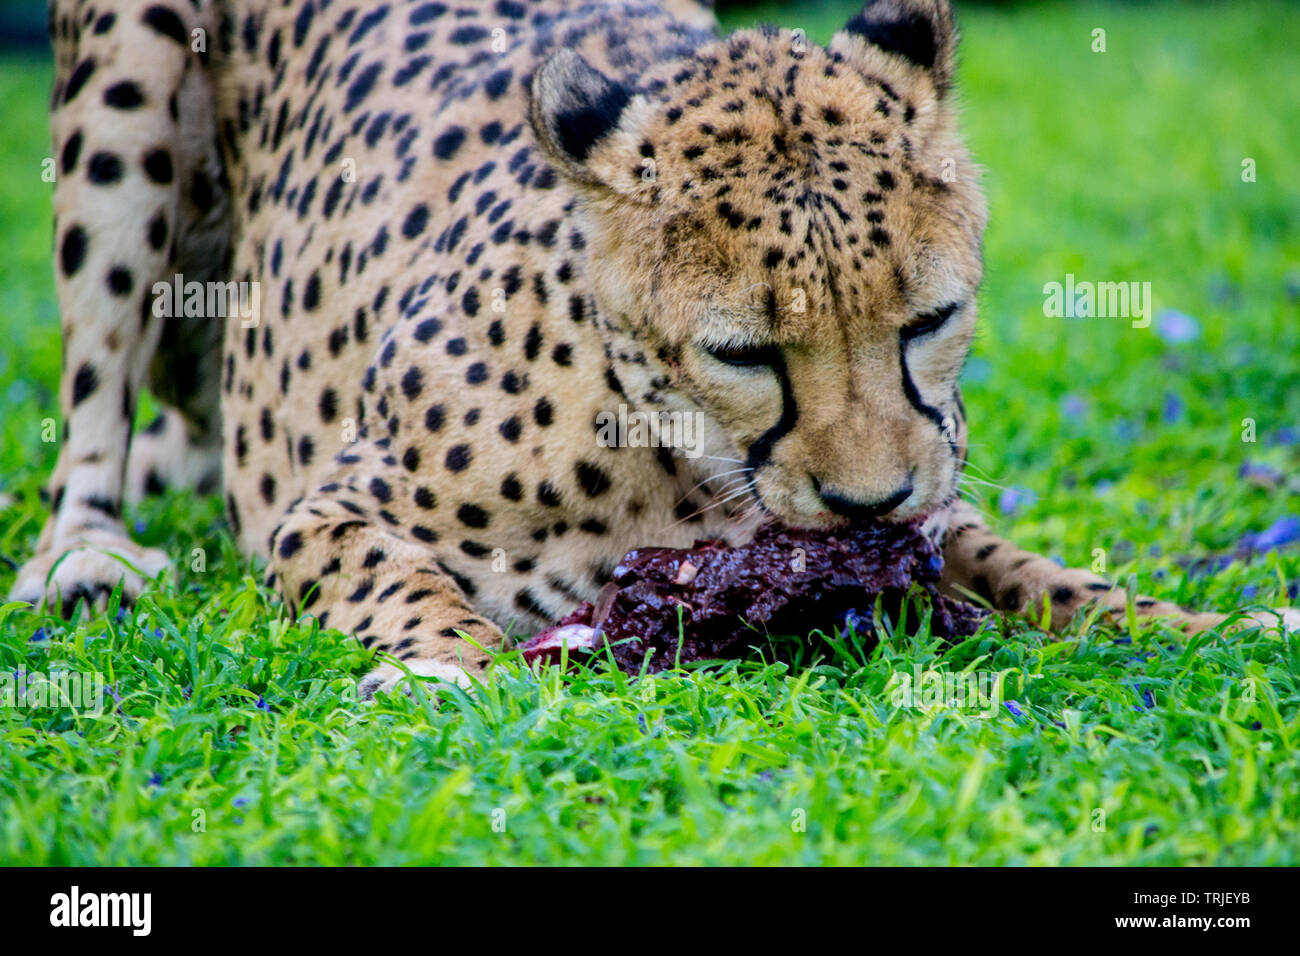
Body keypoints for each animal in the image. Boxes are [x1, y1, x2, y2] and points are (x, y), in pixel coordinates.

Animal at [15, 0, 1294, 697]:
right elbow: (402, 579)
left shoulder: (932, 508)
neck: (680, 465)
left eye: (927, 322)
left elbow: (1040, 572)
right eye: (744, 352)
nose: (866, 503)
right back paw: (85, 557)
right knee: (92, 406)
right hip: (121, 106)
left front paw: (1201, 624)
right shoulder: (322, 507)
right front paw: (453, 667)